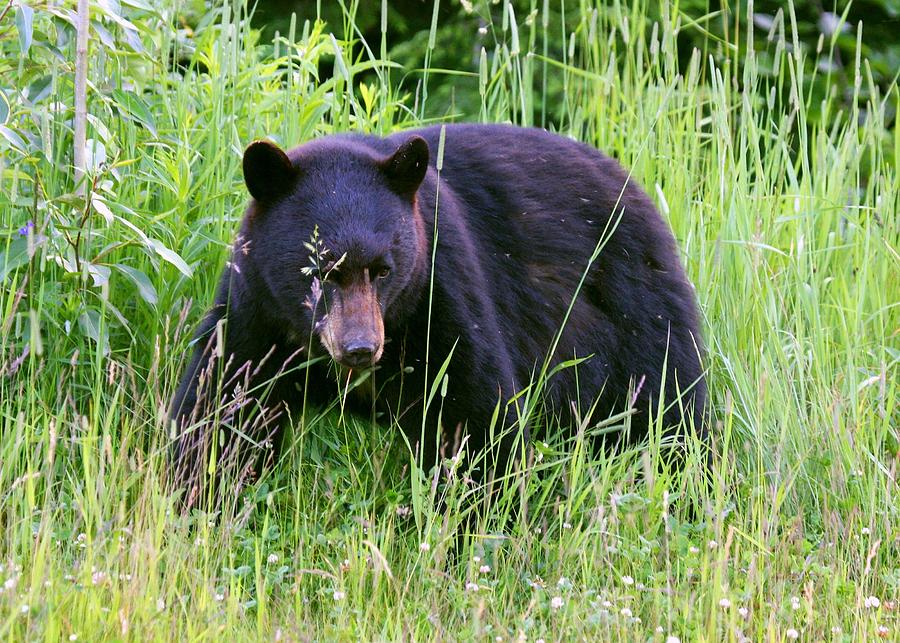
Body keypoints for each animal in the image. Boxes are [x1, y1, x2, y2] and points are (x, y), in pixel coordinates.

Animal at [167, 123, 704, 500]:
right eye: (319, 270)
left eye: (384, 270)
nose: (360, 348)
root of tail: (632, 183)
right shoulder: (259, 310)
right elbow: (224, 405)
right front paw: (197, 497)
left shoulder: (440, 293)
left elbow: (473, 415)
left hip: (631, 308)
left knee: (668, 410)